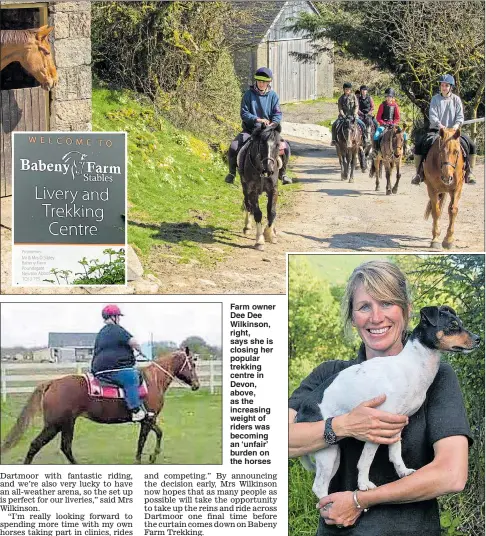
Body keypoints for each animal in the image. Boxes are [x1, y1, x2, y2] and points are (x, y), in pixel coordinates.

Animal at [0, 348, 199, 464]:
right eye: (192, 363)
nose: (197, 385)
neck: (152, 381)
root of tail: (52, 383)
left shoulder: (149, 419)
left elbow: (155, 435)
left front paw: (150, 456)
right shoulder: (148, 420)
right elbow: (146, 439)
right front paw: (145, 458)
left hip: (64, 424)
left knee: (64, 447)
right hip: (57, 424)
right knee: (41, 445)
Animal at [240, 122, 280, 250]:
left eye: (278, 144)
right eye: (262, 143)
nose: (268, 169)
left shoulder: (273, 190)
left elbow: (271, 212)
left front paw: (269, 234)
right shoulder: (252, 190)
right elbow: (257, 213)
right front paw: (260, 240)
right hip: (245, 188)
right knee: (248, 205)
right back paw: (247, 227)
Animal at [302, 306, 480, 498]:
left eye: (460, 323)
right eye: (452, 325)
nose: (479, 339)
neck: (413, 366)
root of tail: (302, 411)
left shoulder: (396, 425)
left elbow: (395, 454)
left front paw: (403, 472)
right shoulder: (375, 428)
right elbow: (365, 461)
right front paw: (363, 485)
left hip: (333, 454)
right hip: (327, 453)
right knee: (319, 487)